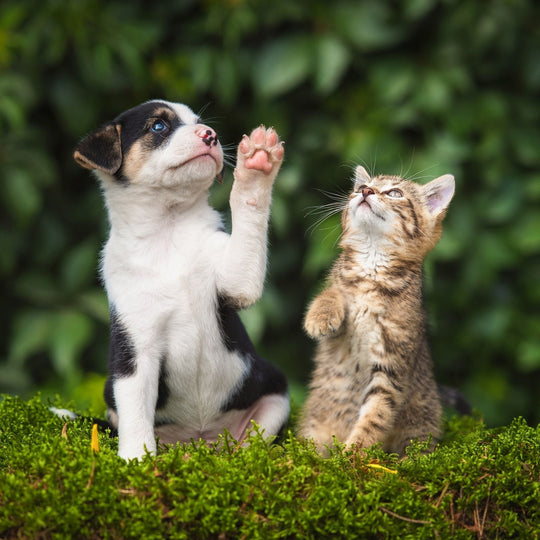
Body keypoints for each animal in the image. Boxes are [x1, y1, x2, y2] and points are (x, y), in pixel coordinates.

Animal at [75, 100, 292, 460]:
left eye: (199, 122)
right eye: (158, 126)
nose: (210, 135)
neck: (168, 228)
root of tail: (200, 440)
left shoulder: (236, 281)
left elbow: (248, 208)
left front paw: (256, 165)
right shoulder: (135, 349)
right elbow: (136, 414)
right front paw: (136, 460)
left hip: (274, 393)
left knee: (252, 441)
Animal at [300, 165, 456, 456]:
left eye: (395, 193)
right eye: (361, 187)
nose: (365, 191)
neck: (372, 266)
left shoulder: (391, 365)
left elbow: (375, 415)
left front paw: (352, 454)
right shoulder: (339, 290)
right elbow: (331, 292)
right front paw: (320, 316)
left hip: (422, 421)